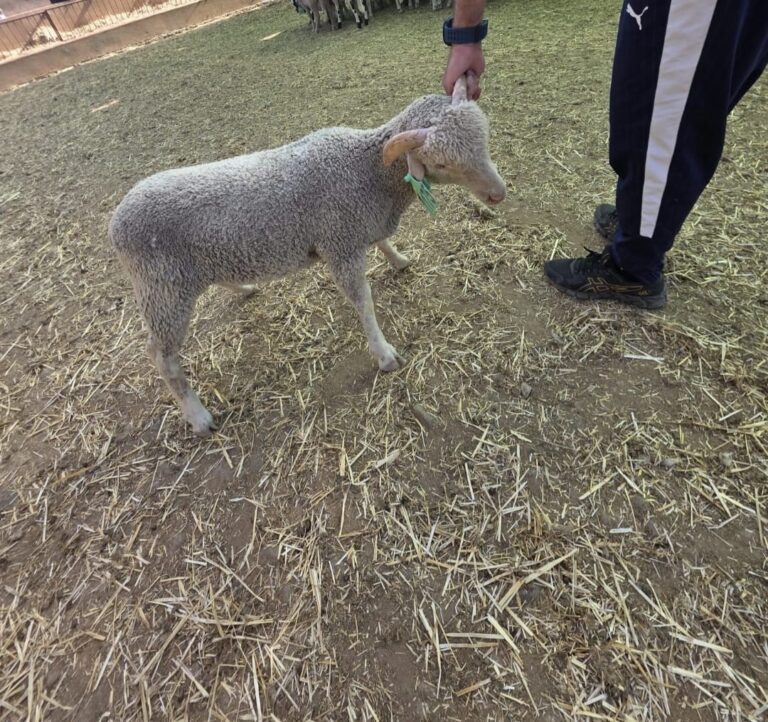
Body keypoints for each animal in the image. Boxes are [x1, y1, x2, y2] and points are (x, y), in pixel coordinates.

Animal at [109, 78, 506, 435]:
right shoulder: (339, 244)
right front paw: (383, 353)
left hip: (190, 272)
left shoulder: (358, 226)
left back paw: (245, 288)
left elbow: (382, 243)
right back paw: (198, 416)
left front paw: (398, 258)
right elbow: (363, 301)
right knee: (161, 357)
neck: (367, 173)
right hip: (163, 290)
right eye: (441, 164)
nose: (498, 194)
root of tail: (115, 225)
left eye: (484, 137)